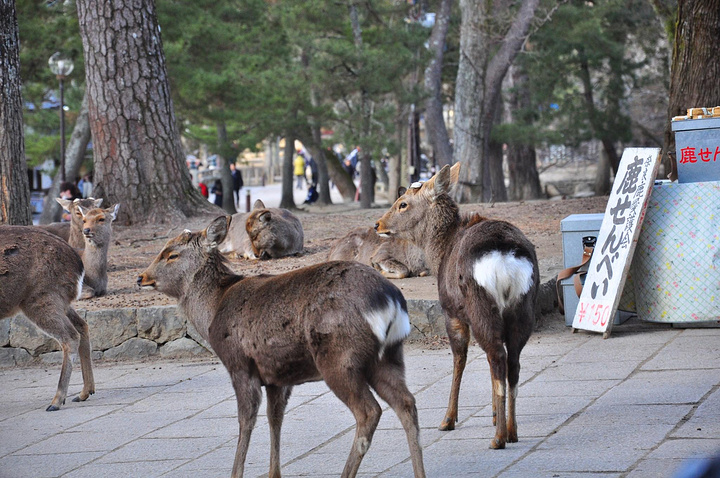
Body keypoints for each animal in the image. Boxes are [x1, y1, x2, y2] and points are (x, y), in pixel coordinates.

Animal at [0, 225, 95, 410]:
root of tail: (78, 265)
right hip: (60, 300)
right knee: (82, 325)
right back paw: (84, 393)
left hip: (41, 298)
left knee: (70, 336)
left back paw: (56, 401)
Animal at [138, 218, 424, 478]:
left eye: (172, 254)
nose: (141, 277)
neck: (212, 312)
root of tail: (390, 300)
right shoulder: (278, 376)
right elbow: (275, 418)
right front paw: (274, 473)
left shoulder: (240, 365)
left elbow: (246, 420)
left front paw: (236, 473)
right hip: (388, 357)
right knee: (407, 403)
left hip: (339, 358)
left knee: (369, 411)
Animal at [374, 162, 536, 450]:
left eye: (402, 203)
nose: (377, 224)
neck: (439, 252)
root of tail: (507, 258)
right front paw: (493, 415)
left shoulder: (451, 311)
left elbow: (459, 360)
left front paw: (448, 419)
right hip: (522, 309)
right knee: (512, 362)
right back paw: (511, 431)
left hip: (480, 306)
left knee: (497, 356)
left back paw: (498, 439)